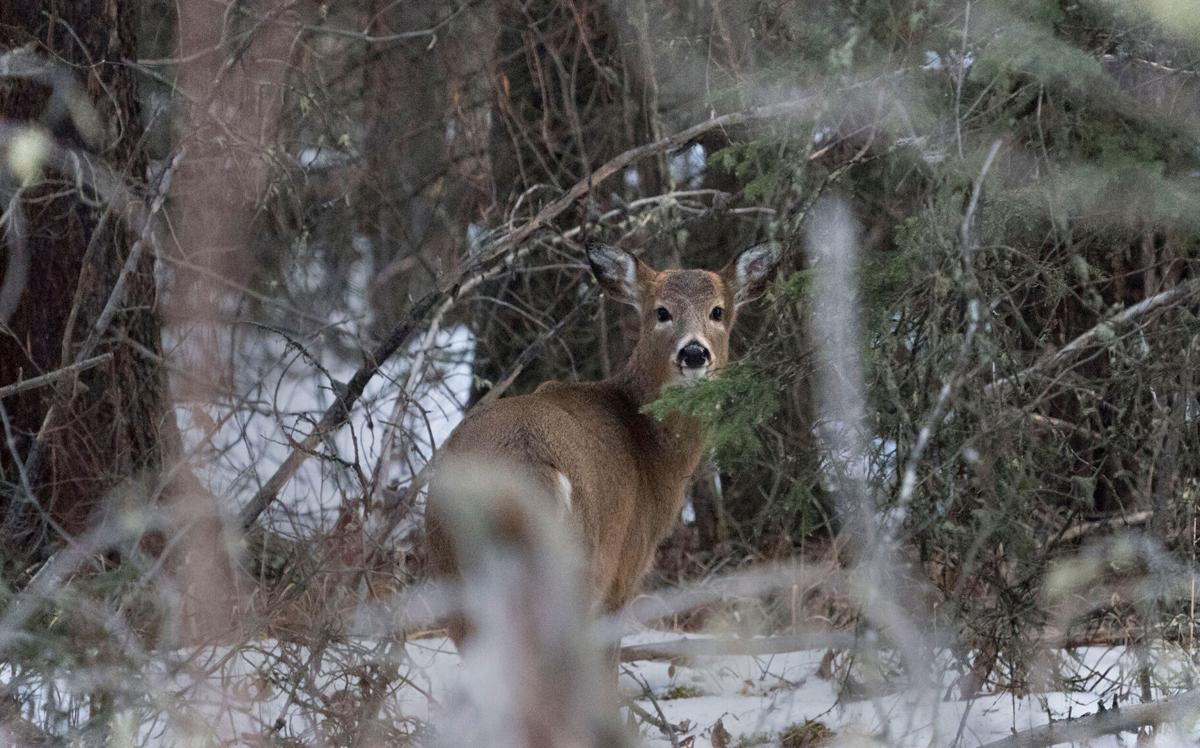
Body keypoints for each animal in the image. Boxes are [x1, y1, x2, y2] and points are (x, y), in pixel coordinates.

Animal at [425, 238, 780, 648]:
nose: (693, 352)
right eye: (661, 312)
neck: (651, 451)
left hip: (452, 574)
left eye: (718, 311)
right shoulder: (625, 565)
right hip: (581, 563)